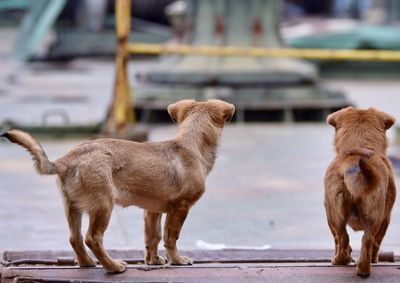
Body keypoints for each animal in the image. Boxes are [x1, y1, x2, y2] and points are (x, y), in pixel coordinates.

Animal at [0, 100, 234, 276]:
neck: (190, 145)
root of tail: (68, 159)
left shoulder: (152, 211)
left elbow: (153, 237)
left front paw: (153, 261)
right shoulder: (180, 208)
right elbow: (171, 237)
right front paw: (176, 260)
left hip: (72, 207)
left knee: (75, 238)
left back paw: (87, 262)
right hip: (104, 205)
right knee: (92, 238)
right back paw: (113, 266)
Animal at [324, 106, 396, 278]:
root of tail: (354, 164)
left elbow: (337, 240)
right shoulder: (386, 218)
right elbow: (376, 242)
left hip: (336, 215)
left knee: (343, 238)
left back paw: (341, 261)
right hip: (373, 217)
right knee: (367, 240)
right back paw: (363, 268)